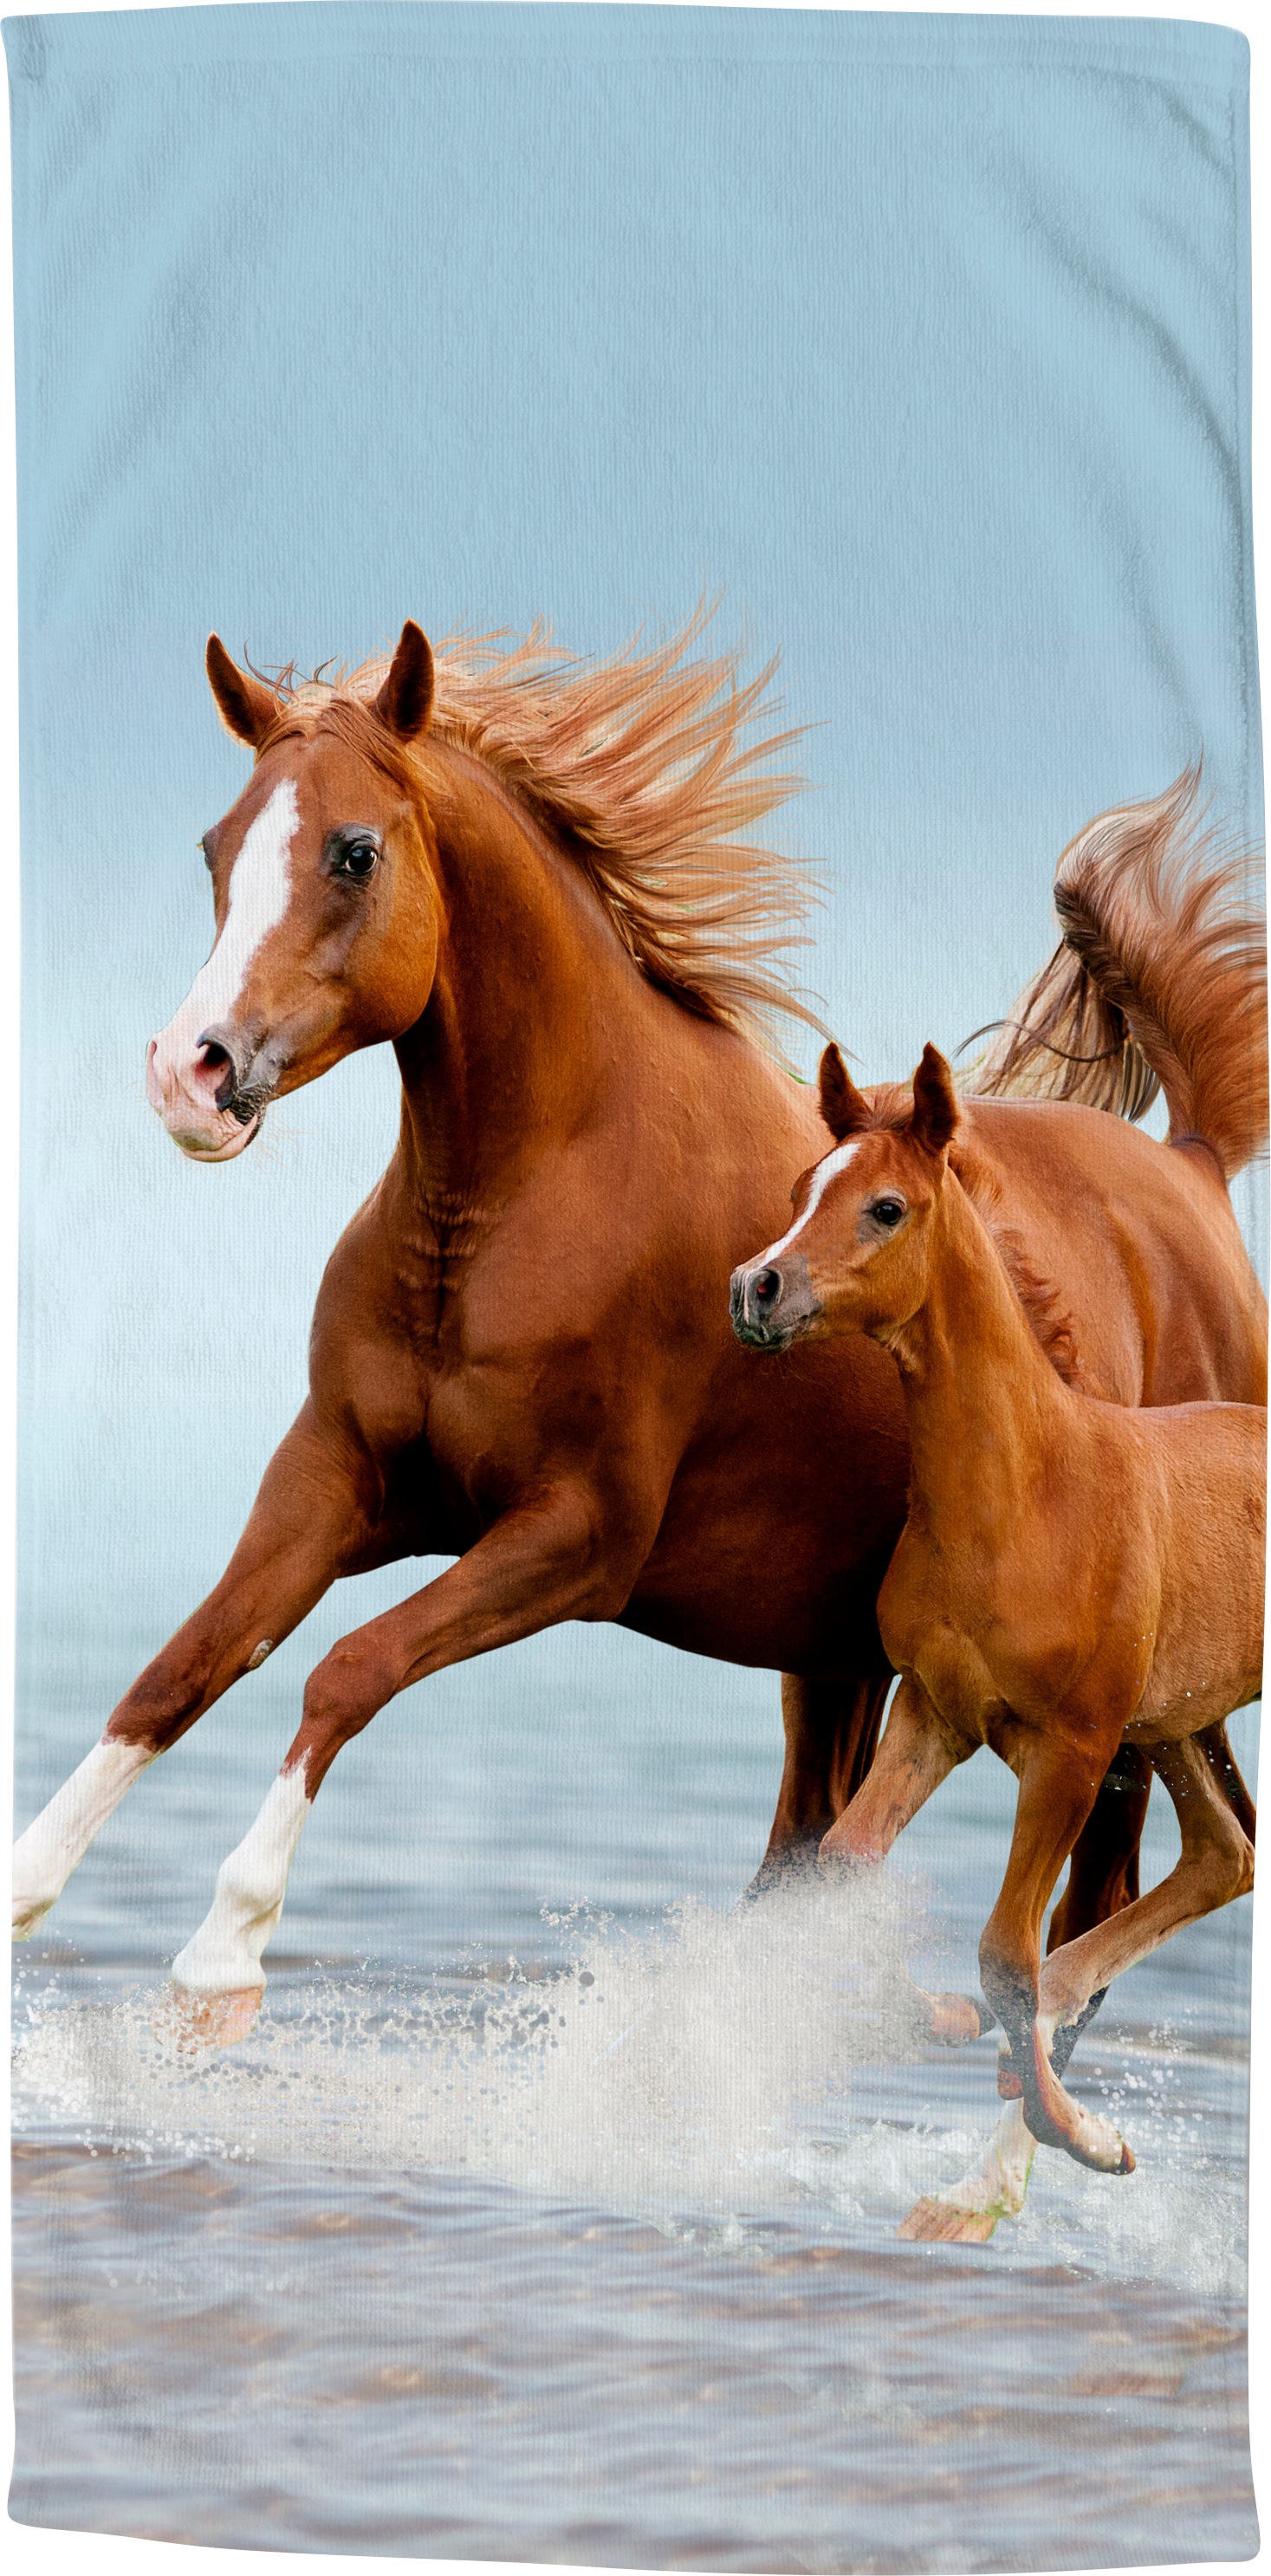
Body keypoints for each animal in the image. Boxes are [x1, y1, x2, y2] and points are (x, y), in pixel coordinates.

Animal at [11, 619, 1266, 2080]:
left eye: (353, 850)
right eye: (217, 846)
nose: (190, 1074)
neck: (519, 1201)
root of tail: (1191, 1166)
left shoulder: (572, 1539)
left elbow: (346, 1670)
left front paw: (222, 1960)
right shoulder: (333, 1480)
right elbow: (185, 1665)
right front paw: (30, 1888)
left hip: (1114, 1696)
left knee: (1102, 1888)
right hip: (831, 1654)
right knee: (812, 1854)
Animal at [731, 1041, 1261, 2232]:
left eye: (886, 1206)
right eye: (797, 1191)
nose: (756, 1288)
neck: (1029, 1491)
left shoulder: (1071, 1750)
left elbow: (1005, 1951)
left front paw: (1084, 2140)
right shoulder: (937, 1711)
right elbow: (846, 1868)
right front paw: (946, 2023)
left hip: (1147, 1731)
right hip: (1176, 1721)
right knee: (1222, 1853)